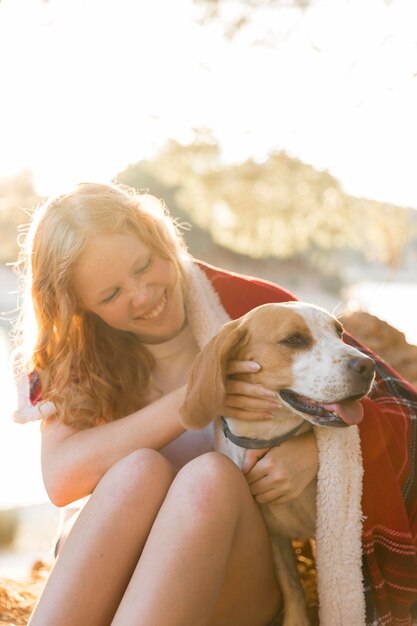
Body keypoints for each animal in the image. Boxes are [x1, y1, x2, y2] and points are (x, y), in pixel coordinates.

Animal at [180, 300, 376, 620]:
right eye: (294, 340)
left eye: (339, 332)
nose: (368, 365)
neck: (269, 441)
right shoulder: (274, 537)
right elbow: (291, 585)